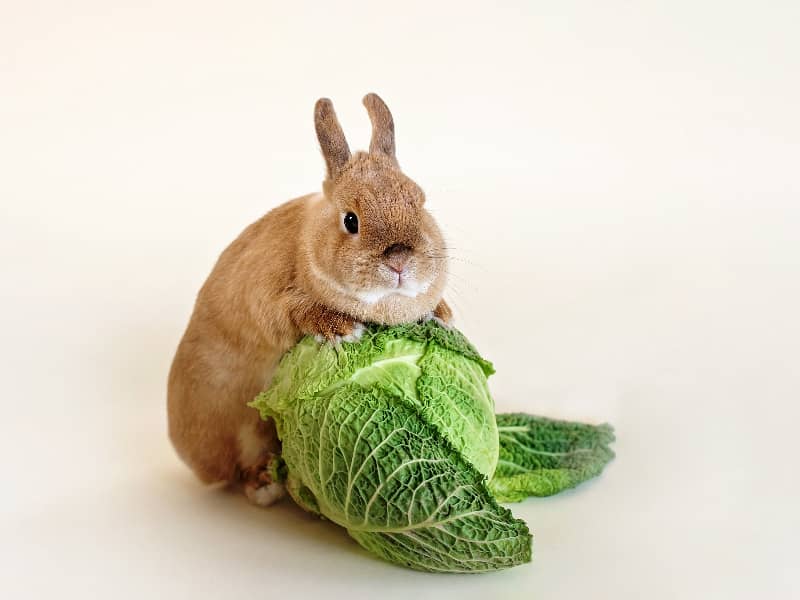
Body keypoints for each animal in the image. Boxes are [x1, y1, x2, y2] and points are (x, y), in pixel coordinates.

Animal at [166, 94, 454, 506]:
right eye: (351, 220)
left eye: (420, 202)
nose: (399, 260)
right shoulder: (270, 299)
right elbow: (297, 311)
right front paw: (342, 330)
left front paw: (441, 316)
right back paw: (265, 484)